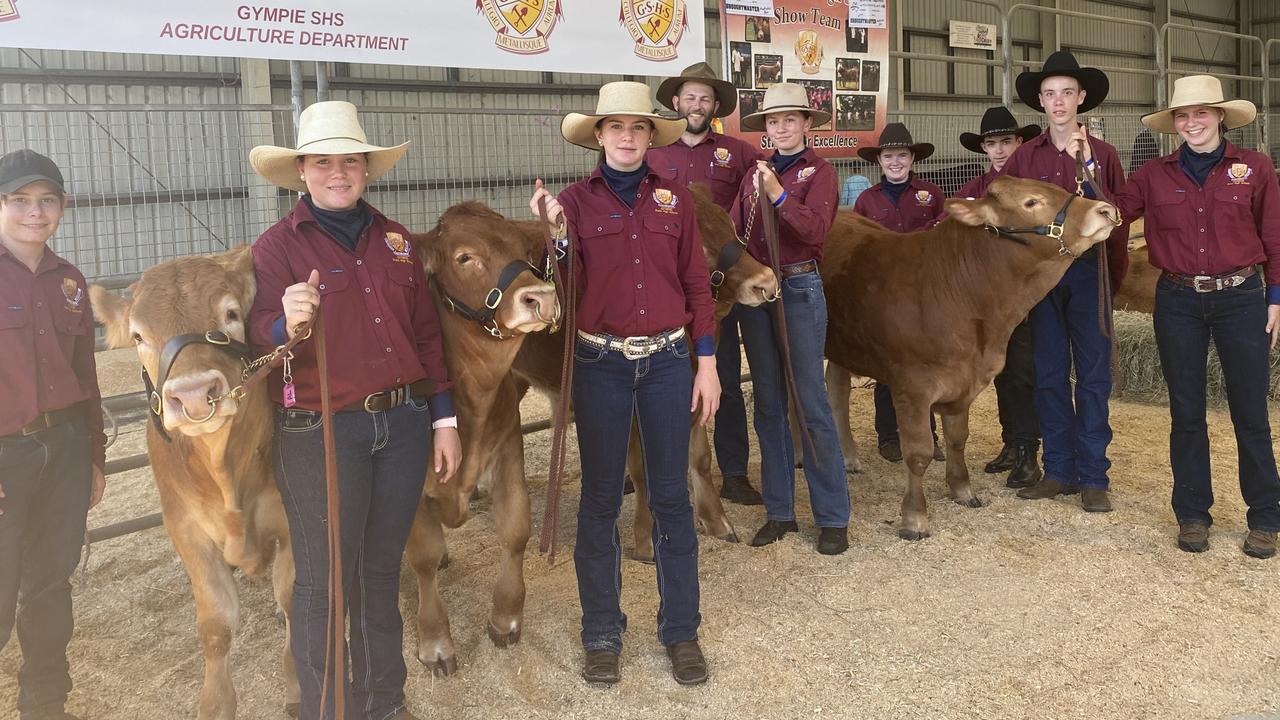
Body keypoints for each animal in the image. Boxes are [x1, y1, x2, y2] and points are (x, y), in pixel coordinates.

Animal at [93, 244, 298, 712]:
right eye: (138, 336)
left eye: (231, 314)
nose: (192, 394)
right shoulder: (184, 527)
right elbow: (216, 624)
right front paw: (216, 703)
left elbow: (294, 599)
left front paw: (298, 687)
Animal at [401, 202, 558, 671]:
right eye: (464, 257)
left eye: (524, 249)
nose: (541, 298)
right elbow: (423, 557)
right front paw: (435, 641)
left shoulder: (507, 445)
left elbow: (516, 528)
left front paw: (505, 618)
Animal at [512, 183, 778, 561]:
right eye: (700, 247)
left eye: (730, 224)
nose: (766, 282)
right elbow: (640, 469)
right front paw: (646, 540)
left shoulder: (692, 389)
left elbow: (700, 456)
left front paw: (717, 522)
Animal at [819, 175, 1121, 538]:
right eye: (1031, 202)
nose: (1105, 208)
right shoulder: (911, 387)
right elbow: (918, 453)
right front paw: (914, 518)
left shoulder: (966, 381)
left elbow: (957, 439)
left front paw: (962, 490)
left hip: (842, 346)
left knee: (836, 391)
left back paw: (848, 458)